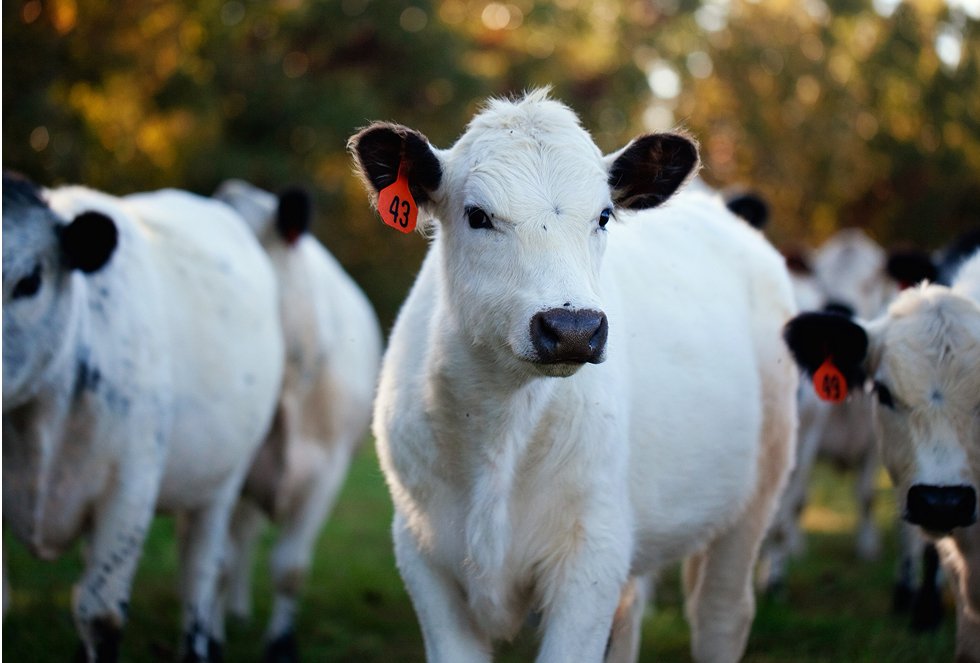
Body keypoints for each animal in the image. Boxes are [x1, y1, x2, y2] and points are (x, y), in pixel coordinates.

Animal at [348, 89, 798, 663]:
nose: (573, 328)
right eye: (477, 215)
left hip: (757, 494)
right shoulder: (423, 554)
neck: (500, 427)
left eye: (603, 215)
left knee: (720, 616)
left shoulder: (591, 557)